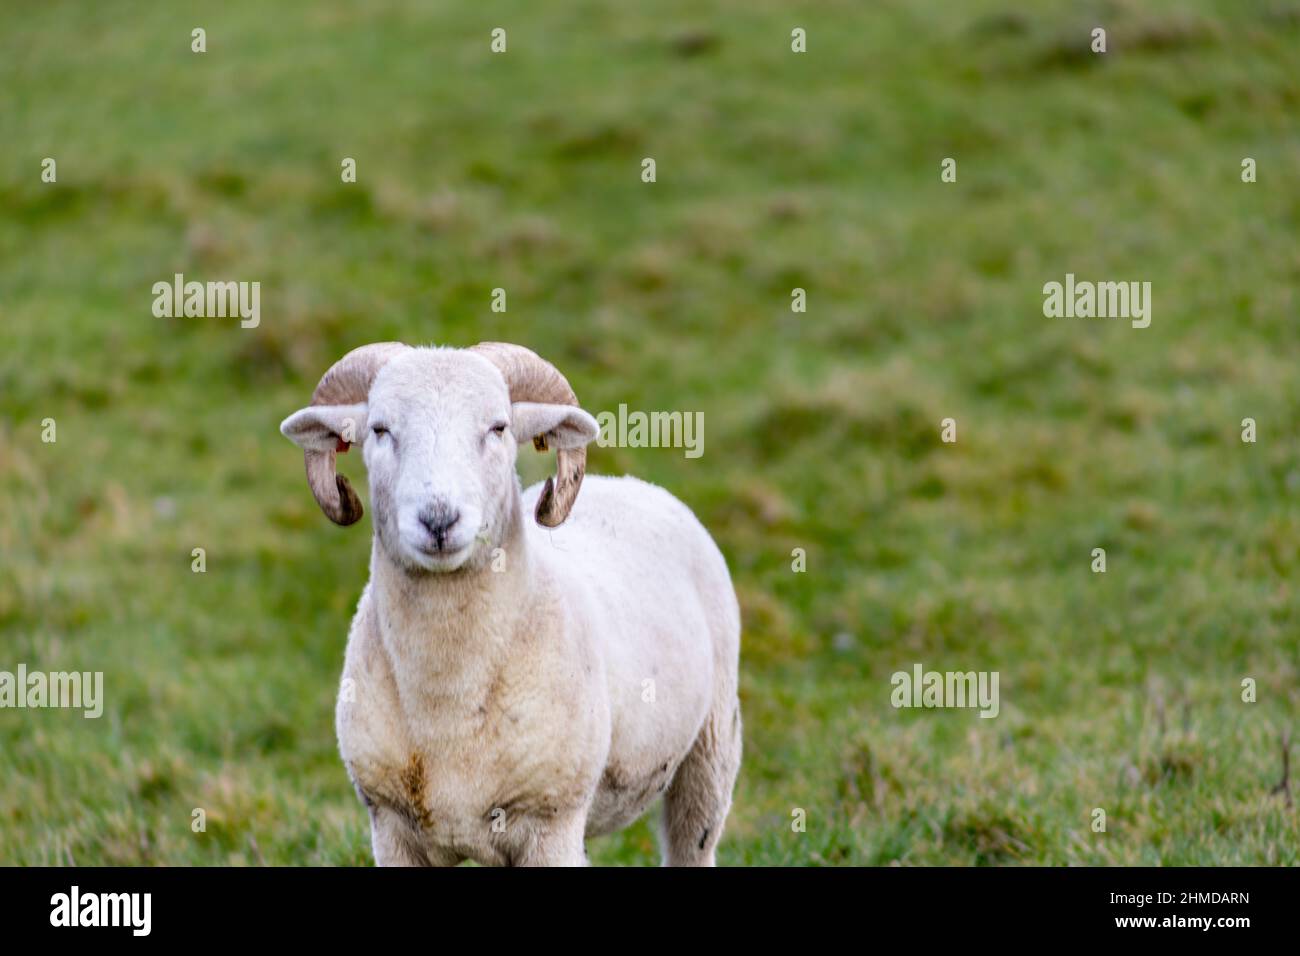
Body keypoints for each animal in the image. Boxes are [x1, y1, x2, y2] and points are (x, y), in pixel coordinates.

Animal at [276, 340, 743, 863]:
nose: (439, 519)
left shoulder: (551, 824)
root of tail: (628, 483)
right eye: (380, 429)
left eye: (498, 427)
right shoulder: (391, 827)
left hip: (711, 748)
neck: (448, 696)